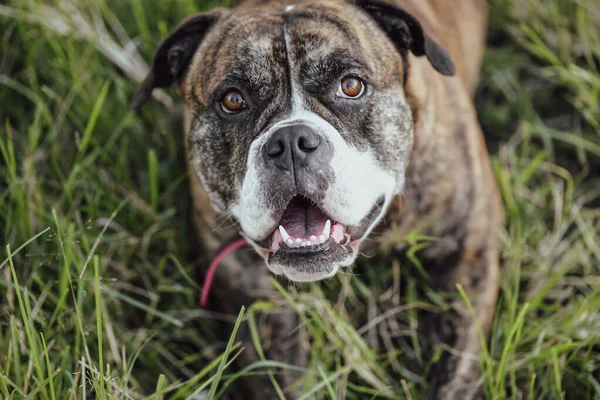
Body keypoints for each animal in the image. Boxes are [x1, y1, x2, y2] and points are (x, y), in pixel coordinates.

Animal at [131, 0, 502, 396]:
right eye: (232, 100)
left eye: (351, 86)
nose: (291, 141)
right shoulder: (250, 289)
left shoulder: (467, 253)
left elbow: (455, 370)